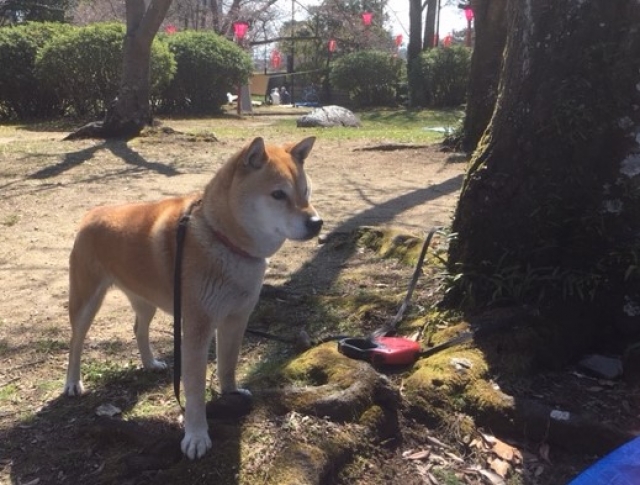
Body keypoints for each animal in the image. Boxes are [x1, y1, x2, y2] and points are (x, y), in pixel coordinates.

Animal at [63, 136, 322, 458]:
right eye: (278, 194)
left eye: (306, 191)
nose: (317, 222)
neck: (224, 240)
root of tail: (93, 213)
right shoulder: (198, 328)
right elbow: (195, 390)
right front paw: (196, 435)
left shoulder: (236, 319)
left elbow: (227, 364)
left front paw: (231, 394)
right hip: (86, 301)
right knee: (75, 342)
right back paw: (72, 382)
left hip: (146, 300)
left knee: (139, 329)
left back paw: (150, 363)